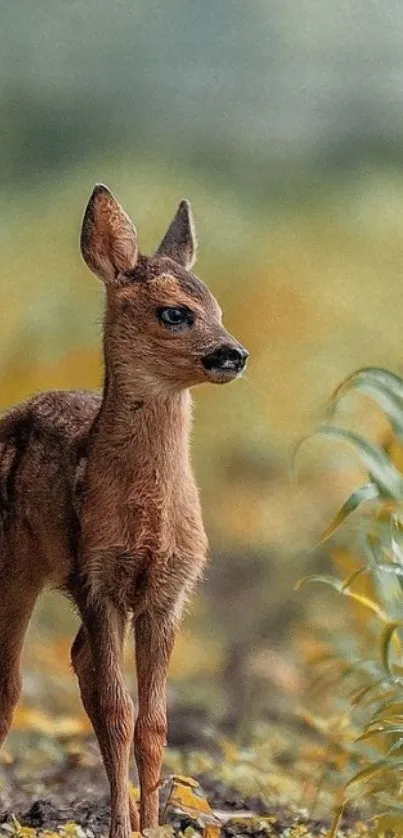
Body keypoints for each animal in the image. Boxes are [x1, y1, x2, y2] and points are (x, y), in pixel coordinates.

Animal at [0, 189, 248, 838]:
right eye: (174, 313)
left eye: (216, 305)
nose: (234, 353)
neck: (148, 519)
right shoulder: (98, 577)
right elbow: (118, 709)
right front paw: (120, 828)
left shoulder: (169, 590)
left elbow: (153, 721)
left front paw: (150, 826)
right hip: (16, 566)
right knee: (11, 684)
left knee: (78, 663)